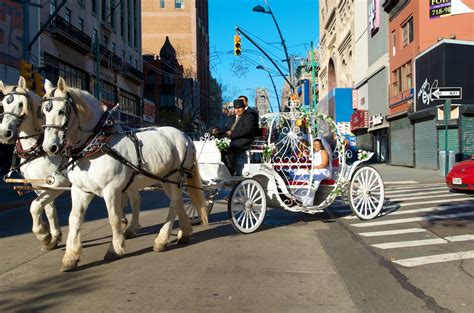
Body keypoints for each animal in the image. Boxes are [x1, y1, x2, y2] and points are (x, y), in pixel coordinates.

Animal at [39, 77, 206, 270]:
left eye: (61, 111)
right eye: (44, 111)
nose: (49, 147)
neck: (95, 144)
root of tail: (186, 137)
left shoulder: (112, 190)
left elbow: (114, 218)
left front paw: (115, 248)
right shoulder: (80, 190)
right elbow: (74, 218)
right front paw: (70, 257)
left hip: (173, 178)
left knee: (173, 204)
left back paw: (162, 239)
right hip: (165, 180)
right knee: (178, 202)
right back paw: (184, 233)